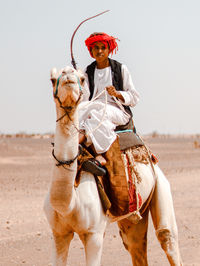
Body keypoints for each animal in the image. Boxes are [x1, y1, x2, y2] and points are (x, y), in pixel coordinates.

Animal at [43, 65, 183, 266]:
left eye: (81, 78)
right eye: (52, 79)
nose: (68, 75)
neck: (69, 202)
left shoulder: (94, 233)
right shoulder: (59, 233)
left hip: (161, 185)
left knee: (167, 236)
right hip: (132, 215)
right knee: (135, 245)